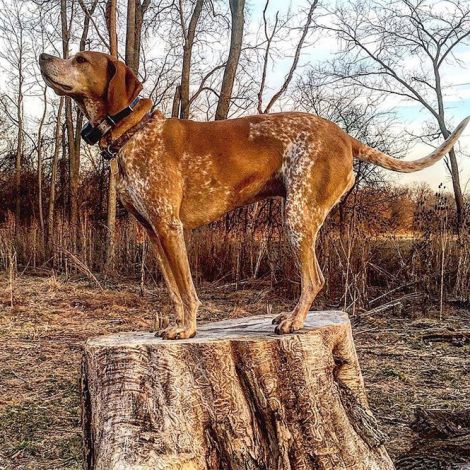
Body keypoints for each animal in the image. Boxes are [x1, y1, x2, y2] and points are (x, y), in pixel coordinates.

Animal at [39, 50, 466, 338]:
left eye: (80, 58)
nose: (44, 56)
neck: (134, 132)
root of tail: (344, 136)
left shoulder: (170, 228)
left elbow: (188, 291)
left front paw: (188, 329)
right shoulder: (153, 232)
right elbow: (175, 291)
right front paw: (177, 325)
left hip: (297, 218)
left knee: (315, 278)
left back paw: (294, 321)